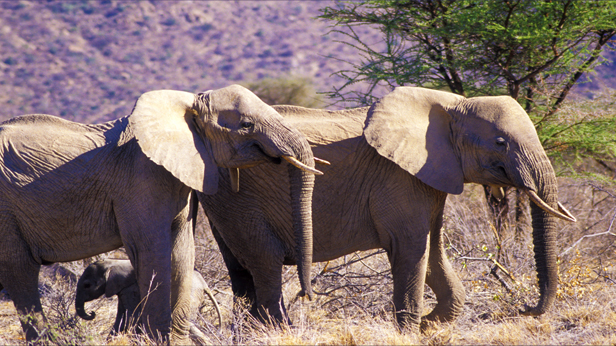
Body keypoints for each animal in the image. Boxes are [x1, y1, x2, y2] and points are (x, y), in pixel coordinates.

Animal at [75, 260, 223, 338]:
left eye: (87, 285)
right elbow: (122, 316)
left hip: (190, 294)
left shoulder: (130, 289)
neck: (112, 263)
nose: (92, 313)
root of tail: (204, 284)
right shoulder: (123, 290)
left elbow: (130, 315)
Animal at [199, 86, 576, 332]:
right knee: (265, 262)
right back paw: (280, 331)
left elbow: (432, 251)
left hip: (224, 197)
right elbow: (411, 248)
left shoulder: (430, 179)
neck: (454, 105)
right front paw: (410, 330)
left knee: (240, 270)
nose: (525, 308)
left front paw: (428, 324)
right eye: (500, 142)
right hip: (240, 198)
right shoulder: (399, 179)